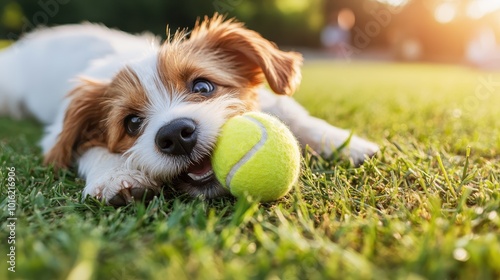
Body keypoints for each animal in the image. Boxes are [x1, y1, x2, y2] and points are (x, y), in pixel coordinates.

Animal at [0, 14, 376, 205]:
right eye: (132, 123)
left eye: (203, 87)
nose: (176, 135)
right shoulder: (56, 132)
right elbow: (90, 148)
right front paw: (114, 176)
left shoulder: (273, 101)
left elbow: (293, 112)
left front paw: (344, 142)